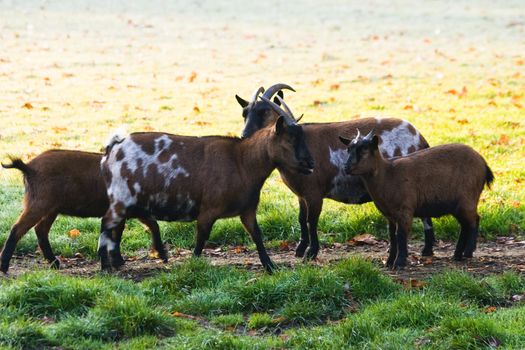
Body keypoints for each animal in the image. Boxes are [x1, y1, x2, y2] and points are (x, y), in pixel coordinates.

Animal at [0, 150, 167, 274]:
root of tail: (28, 167)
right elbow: (152, 225)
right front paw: (163, 256)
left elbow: (119, 234)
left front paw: (119, 262)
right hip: (40, 203)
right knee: (18, 228)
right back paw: (4, 267)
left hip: (51, 208)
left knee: (40, 229)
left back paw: (55, 263)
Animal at [97, 107, 316, 274]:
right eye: (289, 139)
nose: (310, 164)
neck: (242, 161)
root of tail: (114, 148)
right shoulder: (208, 211)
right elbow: (201, 240)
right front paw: (193, 266)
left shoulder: (247, 210)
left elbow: (257, 236)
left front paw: (270, 267)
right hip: (122, 198)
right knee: (107, 223)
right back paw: (105, 265)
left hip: (133, 200)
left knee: (126, 223)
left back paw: (138, 257)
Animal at [236, 84, 434, 260]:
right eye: (245, 113)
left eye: (264, 112)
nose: (244, 136)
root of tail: (420, 138)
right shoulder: (301, 194)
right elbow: (301, 219)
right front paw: (300, 249)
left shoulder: (314, 193)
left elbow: (311, 221)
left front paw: (311, 253)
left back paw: (426, 250)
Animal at [338, 130, 494, 270]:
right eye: (348, 149)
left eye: (364, 150)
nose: (346, 168)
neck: (387, 174)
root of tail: (484, 164)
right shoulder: (390, 215)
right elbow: (392, 237)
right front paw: (389, 262)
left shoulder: (405, 210)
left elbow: (400, 236)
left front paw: (399, 263)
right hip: (457, 205)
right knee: (465, 225)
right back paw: (457, 254)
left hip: (468, 199)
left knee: (474, 220)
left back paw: (468, 252)